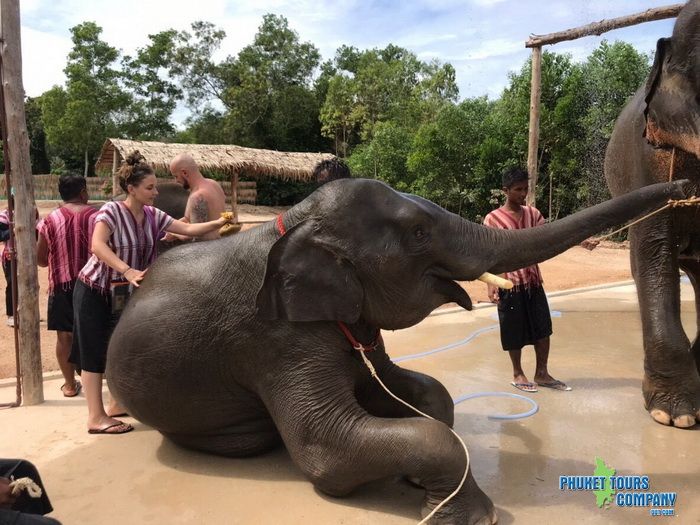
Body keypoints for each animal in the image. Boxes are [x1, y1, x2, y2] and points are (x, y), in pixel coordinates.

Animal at [108, 178, 684, 520]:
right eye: (420, 232)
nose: (684, 183)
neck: (295, 222)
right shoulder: (276, 338)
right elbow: (327, 450)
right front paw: (473, 516)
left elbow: (421, 393)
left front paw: (415, 480)